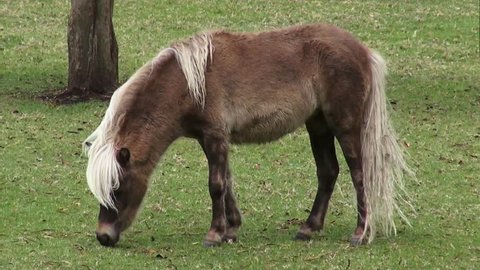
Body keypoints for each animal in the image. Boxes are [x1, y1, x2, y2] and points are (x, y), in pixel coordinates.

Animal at [83, 23, 412, 247]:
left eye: (117, 189)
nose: (103, 236)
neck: (188, 83)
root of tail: (363, 51)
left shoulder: (215, 136)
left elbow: (215, 185)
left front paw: (214, 234)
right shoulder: (211, 139)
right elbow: (226, 181)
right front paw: (231, 229)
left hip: (344, 125)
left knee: (359, 173)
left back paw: (360, 233)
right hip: (317, 124)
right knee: (328, 172)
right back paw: (308, 228)